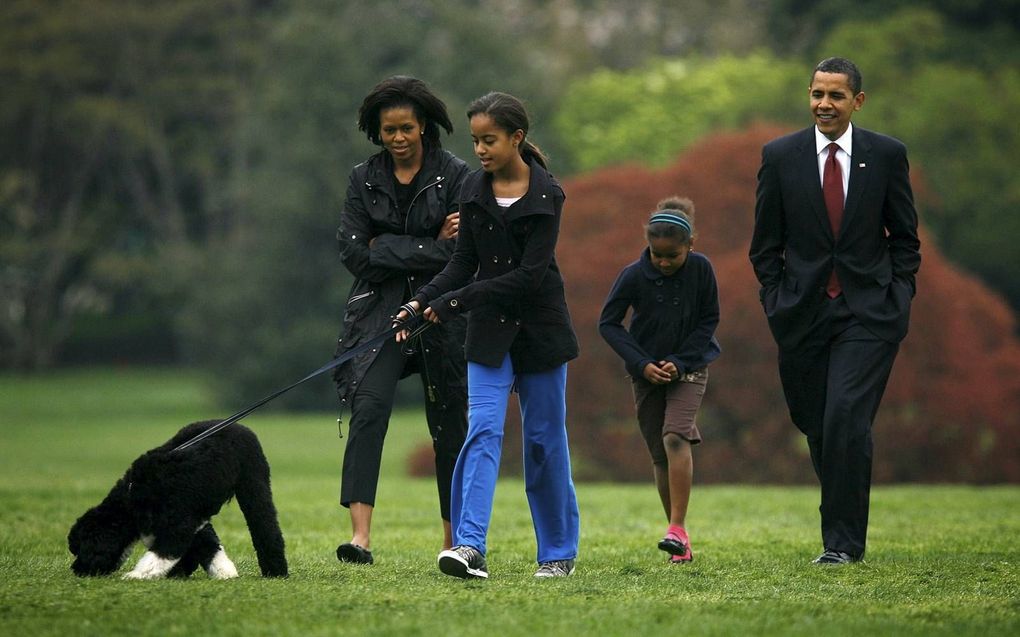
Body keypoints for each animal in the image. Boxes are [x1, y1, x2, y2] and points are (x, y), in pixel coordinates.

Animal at [68, 419, 287, 578]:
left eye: (81, 549)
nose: (76, 569)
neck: (132, 498)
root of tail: (240, 426)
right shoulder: (191, 520)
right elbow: (205, 545)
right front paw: (221, 571)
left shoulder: (178, 522)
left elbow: (163, 552)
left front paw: (136, 575)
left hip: (253, 484)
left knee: (265, 525)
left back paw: (276, 571)